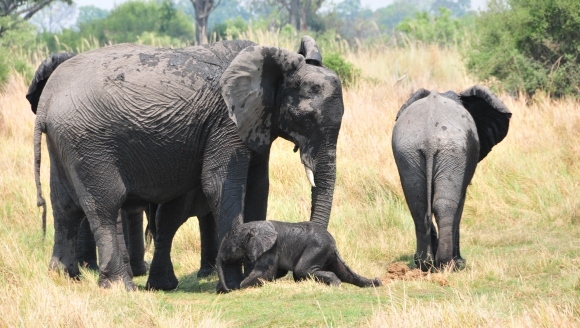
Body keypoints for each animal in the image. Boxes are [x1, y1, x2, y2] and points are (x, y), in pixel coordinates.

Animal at [31, 37, 344, 290]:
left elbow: (258, 188)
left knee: (64, 207)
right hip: (89, 142)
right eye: (305, 117)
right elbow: (220, 185)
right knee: (105, 205)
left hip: (64, 141)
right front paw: (232, 285)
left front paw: (254, 279)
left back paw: (64, 277)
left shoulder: (257, 119)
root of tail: (46, 102)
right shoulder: (225, 122)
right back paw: (121, 288)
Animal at [215, 220, 382, 292]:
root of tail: (334, 245)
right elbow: (277, 272)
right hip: (326, 253)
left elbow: (266, 273)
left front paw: (241, 286)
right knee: (343, 271)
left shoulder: (271, 249)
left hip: (317, 248)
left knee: (302, 270)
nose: (228, 289)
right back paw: (375, 283)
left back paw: (334, 285)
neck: (254, 226)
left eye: (229, 242)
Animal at [390, 85, 512, 272]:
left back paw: (424, 264)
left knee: (418, 205)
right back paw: (447, 264)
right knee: (446, 205)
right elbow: (460, 202)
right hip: (453, 152)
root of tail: (429, 138)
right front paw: (460, 262)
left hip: (407, 152)